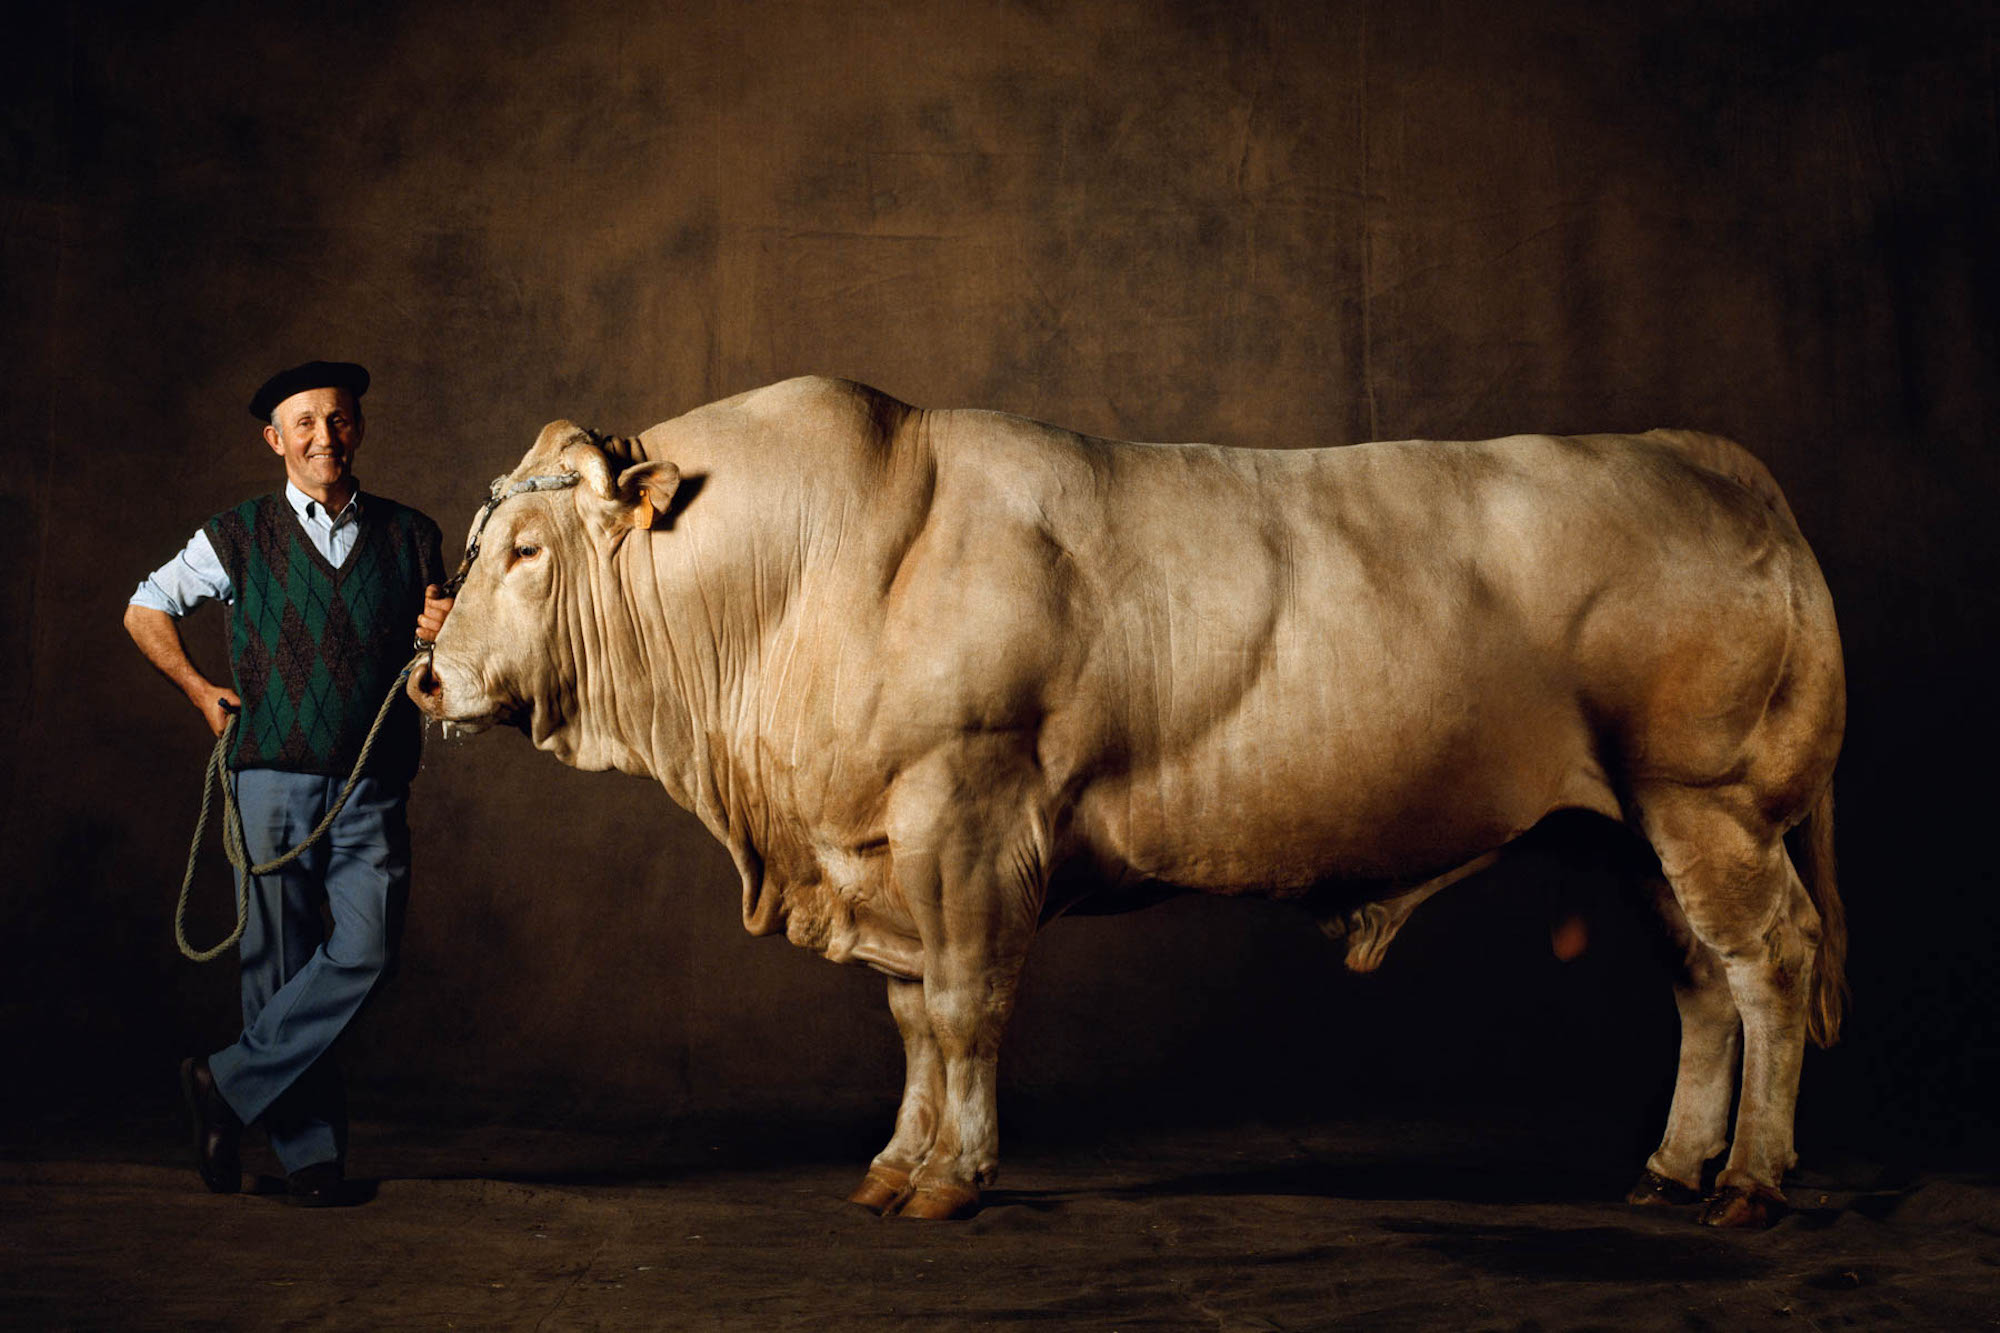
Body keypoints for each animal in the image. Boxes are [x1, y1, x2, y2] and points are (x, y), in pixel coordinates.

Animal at [414, 374, 1848, 1224]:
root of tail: (1695, 453)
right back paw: (1672, 1166)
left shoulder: (965, 818)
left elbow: (964, 1008)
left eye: (525, 550)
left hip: (1709, 799)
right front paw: (894, 1164)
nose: (426, 672)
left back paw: (1752, 1179)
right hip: (1627, 830)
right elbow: (912, 1019)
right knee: (1698, 979)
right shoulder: (886, 852)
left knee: (1768, 961)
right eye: (478, 547)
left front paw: (954, 1178)